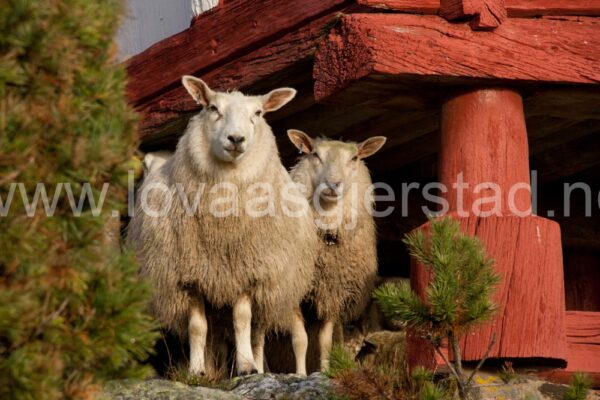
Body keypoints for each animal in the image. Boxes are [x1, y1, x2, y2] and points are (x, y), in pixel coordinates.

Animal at [128, 77, 318, 376]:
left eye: (258, 113)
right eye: (213, 108)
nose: (236, 139)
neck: (222, 225)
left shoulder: (245, 270)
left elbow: (242, 319)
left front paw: (246, 366)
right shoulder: (189, 275)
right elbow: (197, 327)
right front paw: (197, 371)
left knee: (259, 333)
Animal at [288, 131, 386, 372]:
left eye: (355, 158)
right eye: (315, 154)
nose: (333, 184)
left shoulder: (333, 292)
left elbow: (325, 341)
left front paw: (323, 372)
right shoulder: (292, 292)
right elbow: (300, 339)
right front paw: (300, 374)